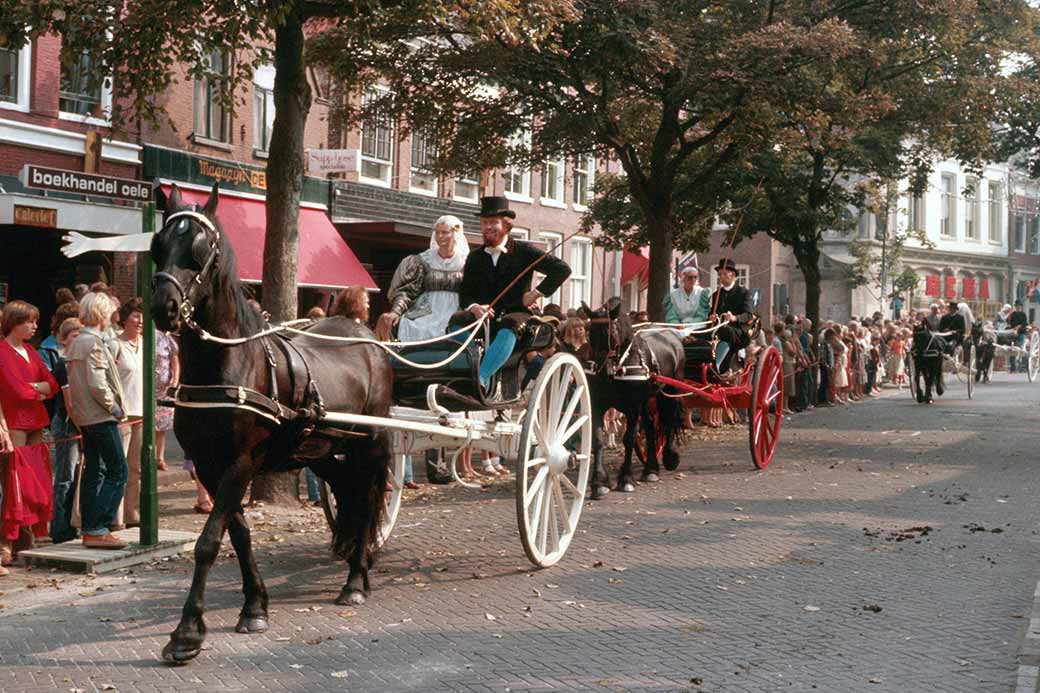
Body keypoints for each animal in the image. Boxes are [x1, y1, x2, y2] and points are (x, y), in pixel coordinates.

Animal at [153, 185, 393, 665]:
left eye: (200, 252)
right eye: (157, 246)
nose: (162, 307)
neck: (228, 365)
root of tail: (369, 337)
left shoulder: (240, 463)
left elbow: (208, 542)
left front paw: (186, 633)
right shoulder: (210, 466)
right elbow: (239, 535)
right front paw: (254, 608)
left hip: (370, 443)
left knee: (369, 497)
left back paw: (355, 581)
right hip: (324, 452)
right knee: (352, 496)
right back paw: (356, 564)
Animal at [582, 299, 686, 493]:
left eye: (612, 333)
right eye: (590, 331)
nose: (600, 370)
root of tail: (672, 336)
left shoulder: (632, 407)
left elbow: (629, 439)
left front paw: (626, 479)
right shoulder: (598, 405)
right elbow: (598, 440)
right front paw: (599, 482)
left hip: (669, 392)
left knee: (668, 421)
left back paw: (669, 457)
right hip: (646, 401)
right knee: (651, 426)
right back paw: (651, 469)